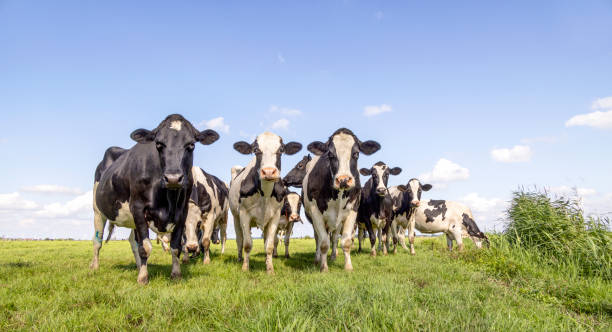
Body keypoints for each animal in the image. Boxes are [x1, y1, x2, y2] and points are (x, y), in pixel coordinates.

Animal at [88, 113, 218, 282]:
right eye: (158, 144)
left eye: (191, 145)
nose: (173, 178)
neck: (168, 201)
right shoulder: (138, 208)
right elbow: (145, 247)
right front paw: (143, 278)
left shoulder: (182, 212)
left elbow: (175, 247)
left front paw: (176, 274)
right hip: (98, 210)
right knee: (97, 240)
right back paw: (95, 266)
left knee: (133, 242)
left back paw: (138, 266)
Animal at [228, 131, 302, 274]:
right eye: (256, 150)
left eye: (281, 150)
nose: (268, 172)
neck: (265, 195)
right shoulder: (244, 214)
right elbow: (247, 244)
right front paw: (245, 267)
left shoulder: (275, 217)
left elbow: (269, 245)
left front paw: (270, 269)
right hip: (235, 217)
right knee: (239, 239)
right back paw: (240, 258)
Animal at [300, 128, 380, 272]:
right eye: (330, 154)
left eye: (356, 154)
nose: (343, 179)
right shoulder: (315, 212)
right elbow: (323, 243)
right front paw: (324, 267)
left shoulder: (353, 209)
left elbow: (345, 241)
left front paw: (348, 267)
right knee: (318, 239)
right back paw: (317, 259)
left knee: (334, 237)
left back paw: (332, 256)